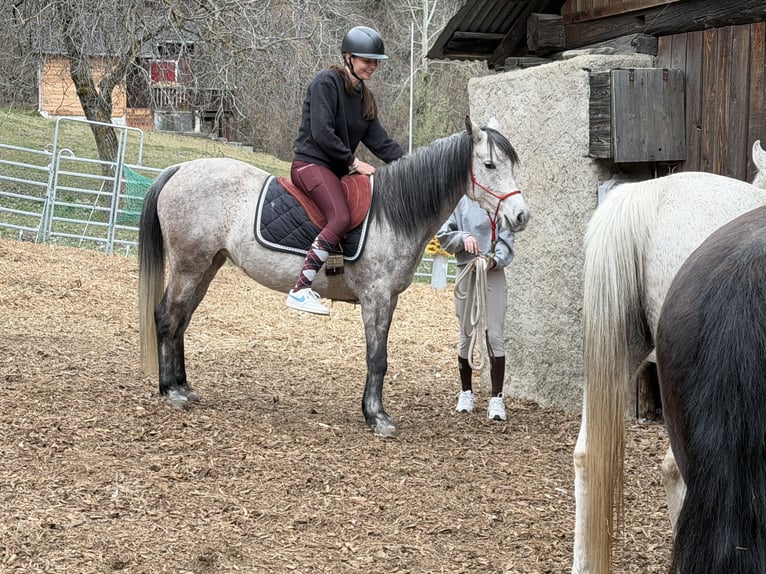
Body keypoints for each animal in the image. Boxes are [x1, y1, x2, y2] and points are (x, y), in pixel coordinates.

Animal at [137, 117, 530, 437]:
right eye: (490, 164)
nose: (521, 215)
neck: (393, 213)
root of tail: (180, 169)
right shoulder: (376, 297)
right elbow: (377, 357)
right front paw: (377, 417)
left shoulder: (389, 299)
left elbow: (378, 356)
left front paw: (372, 412)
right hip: (189, 266)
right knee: (167, 318)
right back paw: (171, 390)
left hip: (207, 266)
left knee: (181, 321)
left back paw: (183, 386)